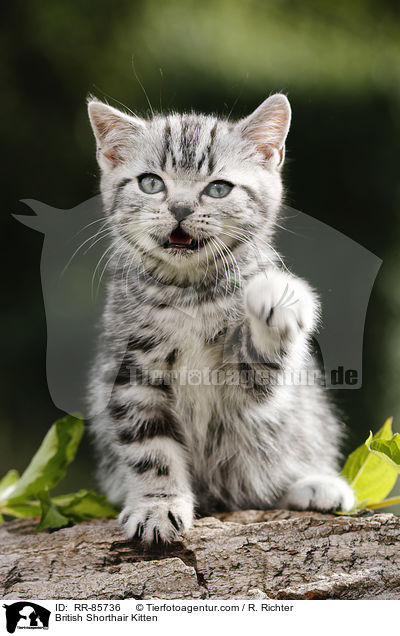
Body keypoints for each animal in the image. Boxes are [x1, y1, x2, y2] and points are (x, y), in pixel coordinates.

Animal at [86, 92, 354, 544]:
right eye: (151, 183)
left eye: (218, 188)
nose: (179, 208)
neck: (188, 292)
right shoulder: (129, 372)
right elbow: (149, 449)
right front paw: (156, 506)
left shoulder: (244, 385)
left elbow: (260, 371)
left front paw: (277, 300)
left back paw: (312, 484)